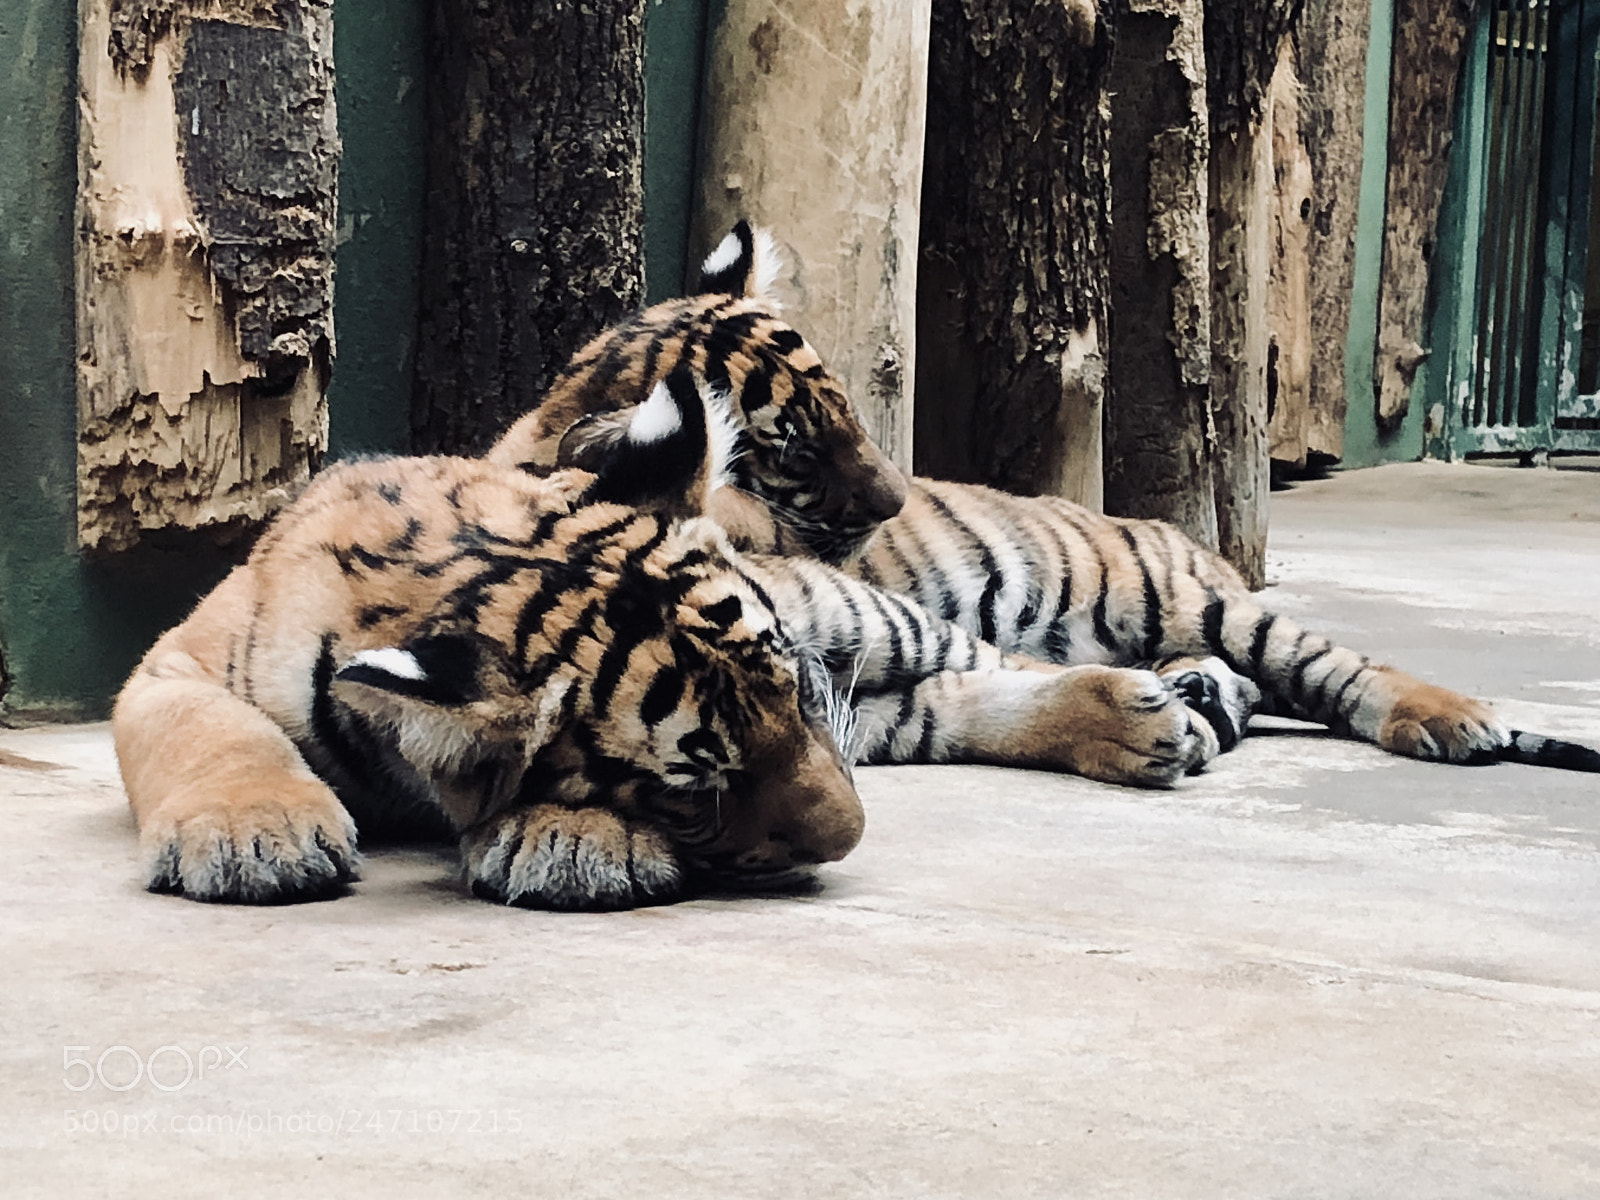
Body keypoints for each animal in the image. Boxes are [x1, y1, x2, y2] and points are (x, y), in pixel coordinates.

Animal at [114, 367, 1228, 911]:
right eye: (697, 785)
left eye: (795, 693)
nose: (851, 841)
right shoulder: (173, 665)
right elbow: (217, 733)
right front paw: (255, 834)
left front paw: (573, 839)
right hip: (885, 707)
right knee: (945, 703)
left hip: (864, 614)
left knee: (993, 660)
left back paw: (1148, 714)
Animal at [489, 221, 1600, 779]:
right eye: (793, 442)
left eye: (845, 403)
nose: (897, 501)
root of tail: (1190, 544)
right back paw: (1206, 696)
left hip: (1191, 599)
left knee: (1336, 666)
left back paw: (1449, 717)